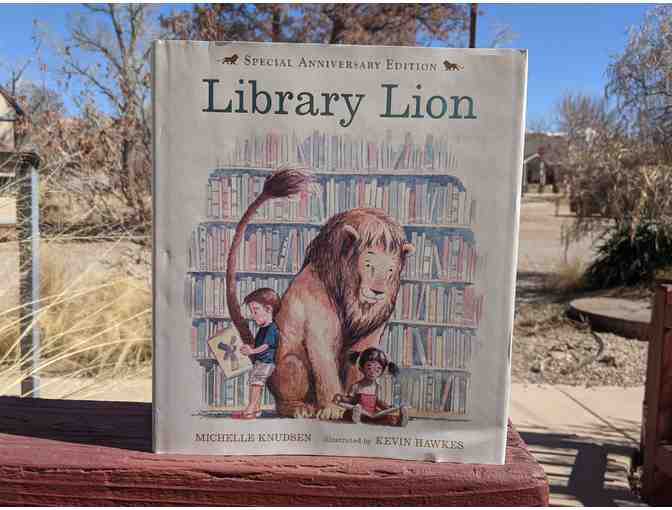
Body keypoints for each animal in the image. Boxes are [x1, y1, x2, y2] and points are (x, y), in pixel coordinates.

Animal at [227, 168, 414, 418]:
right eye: (368, 264)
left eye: (391, 269)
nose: (378, 292)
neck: (353, 301)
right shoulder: (318, 323)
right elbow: (325, 366)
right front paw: (335, 409)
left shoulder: (370, 332)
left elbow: (361, 364)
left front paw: (358, 403)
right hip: (289, 365)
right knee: (286, 394)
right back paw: (301, 409)